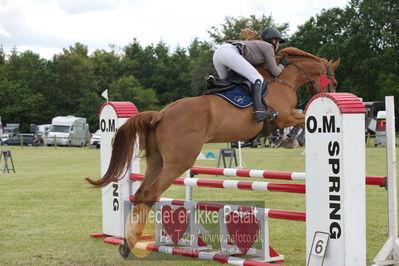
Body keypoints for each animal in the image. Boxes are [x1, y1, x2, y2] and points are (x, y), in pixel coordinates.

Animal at [86, 47, 340, 254]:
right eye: (334, 82)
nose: (331, 92)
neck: (283, 80)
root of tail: (162, 114)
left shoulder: (284, 118)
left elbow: (298, 120)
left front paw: (287, 140)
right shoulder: (284, 115)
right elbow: (301, 117)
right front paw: (292, 140)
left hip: (157, 162)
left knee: (140, 194)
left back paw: (126, 241)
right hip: (178, 163)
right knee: (150, 193)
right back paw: (129, 244)